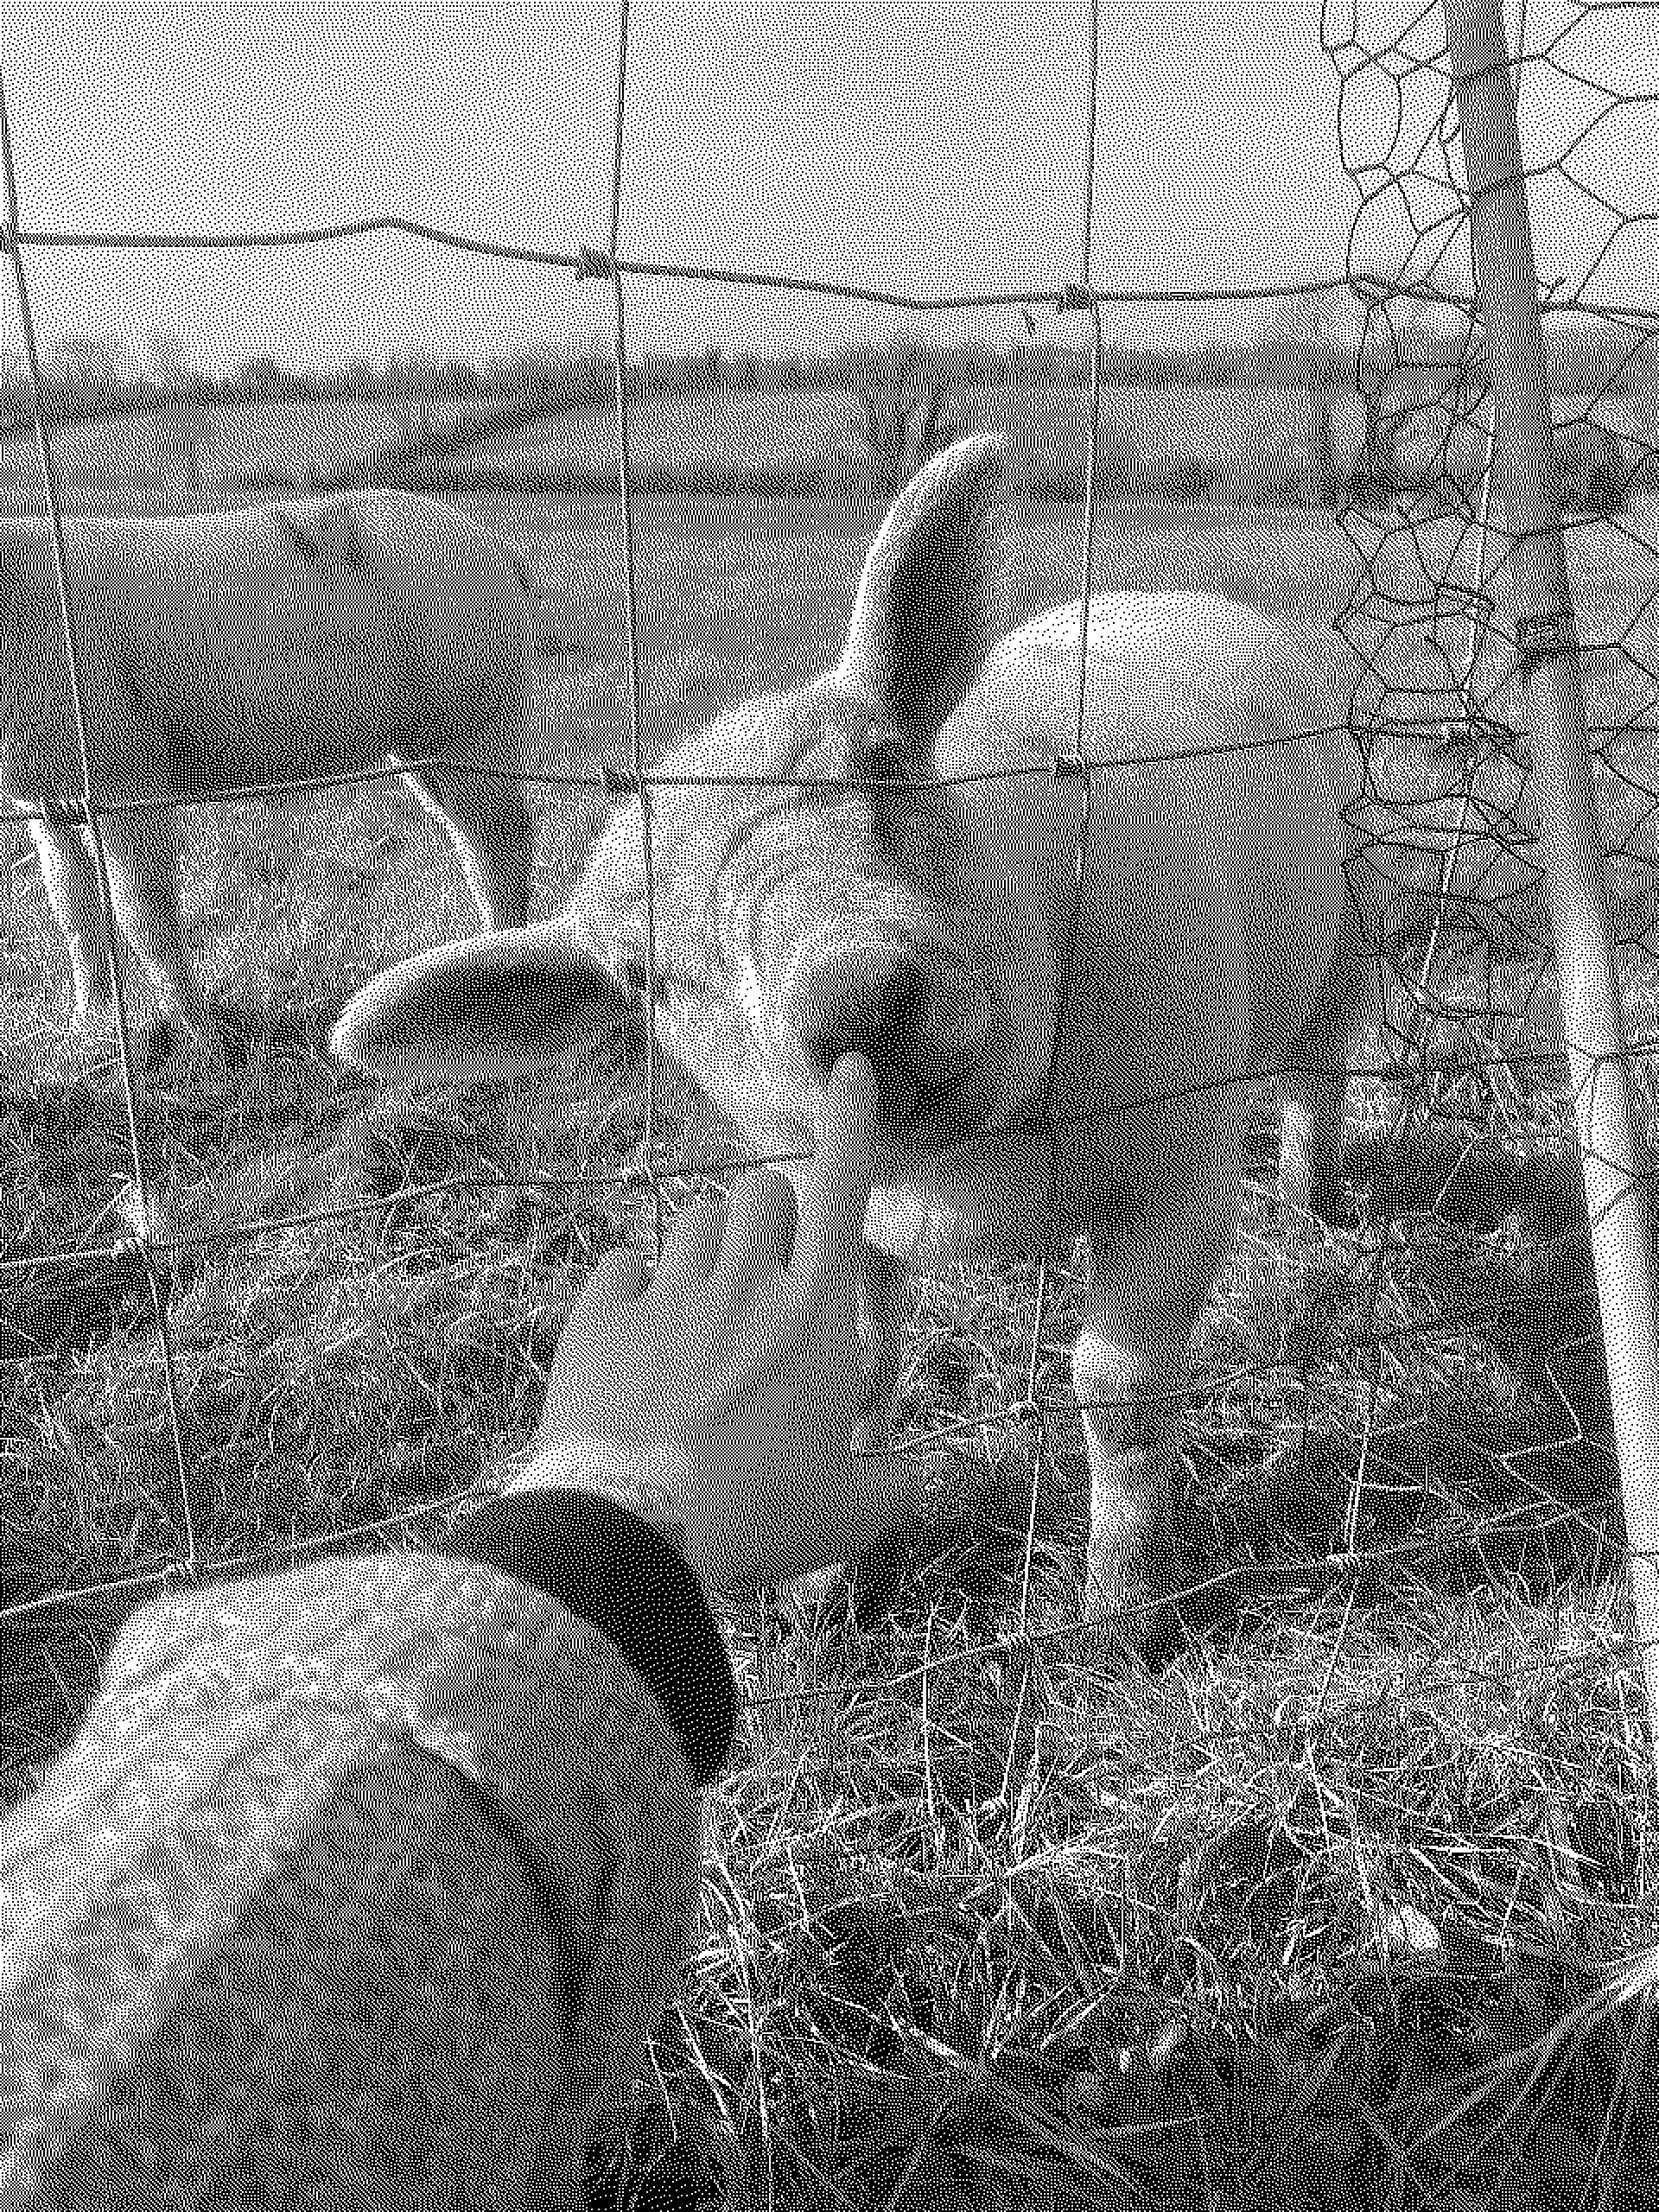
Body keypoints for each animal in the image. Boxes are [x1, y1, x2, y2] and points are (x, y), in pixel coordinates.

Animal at [326, 433, 1621, 1652]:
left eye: (888, 767)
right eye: (645, 977)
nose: (858, 998)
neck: (967, 1169)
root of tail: (1174, 594)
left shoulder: (1178, 1171)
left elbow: (1118, 1389)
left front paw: (1121, 1614)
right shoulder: (829, 1212)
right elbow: (858, 1381)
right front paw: (826, 1595)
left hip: (1343, 936)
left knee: (1319, 1074)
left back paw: (1320, 1202)